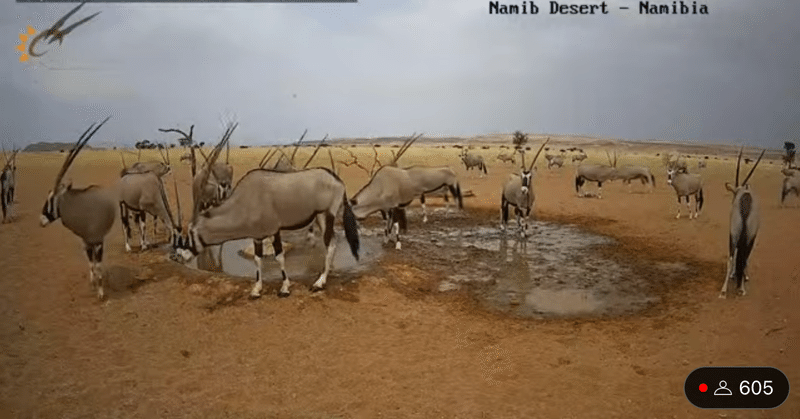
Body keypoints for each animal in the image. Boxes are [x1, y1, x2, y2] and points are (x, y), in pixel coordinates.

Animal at [40, 118, 114, 300]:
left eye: (52, 199)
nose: (41, 220)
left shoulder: (98, 241)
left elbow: (98, 265)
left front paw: (101, 293)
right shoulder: (86, 242)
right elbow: (91, 264)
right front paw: (94, 286)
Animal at [178, 123, 362, 300]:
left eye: (192, 232)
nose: (180, 255)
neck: (244, 200)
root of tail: (337, 180)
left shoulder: (274, 230)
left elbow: (279, 256)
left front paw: (284, 288)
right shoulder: (257, 236)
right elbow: (258, 259)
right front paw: (256, 290)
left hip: (327, 214)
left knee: (330, 244)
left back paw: (320, 282)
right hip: (319, 217)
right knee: (333, 242)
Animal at [720, 148, 764, 298]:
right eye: (733, 194)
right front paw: (742, 276)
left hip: (735, 234)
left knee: (733, 257)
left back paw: (725, 290)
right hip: (743, 237)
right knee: (741, 258)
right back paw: (738, 288)